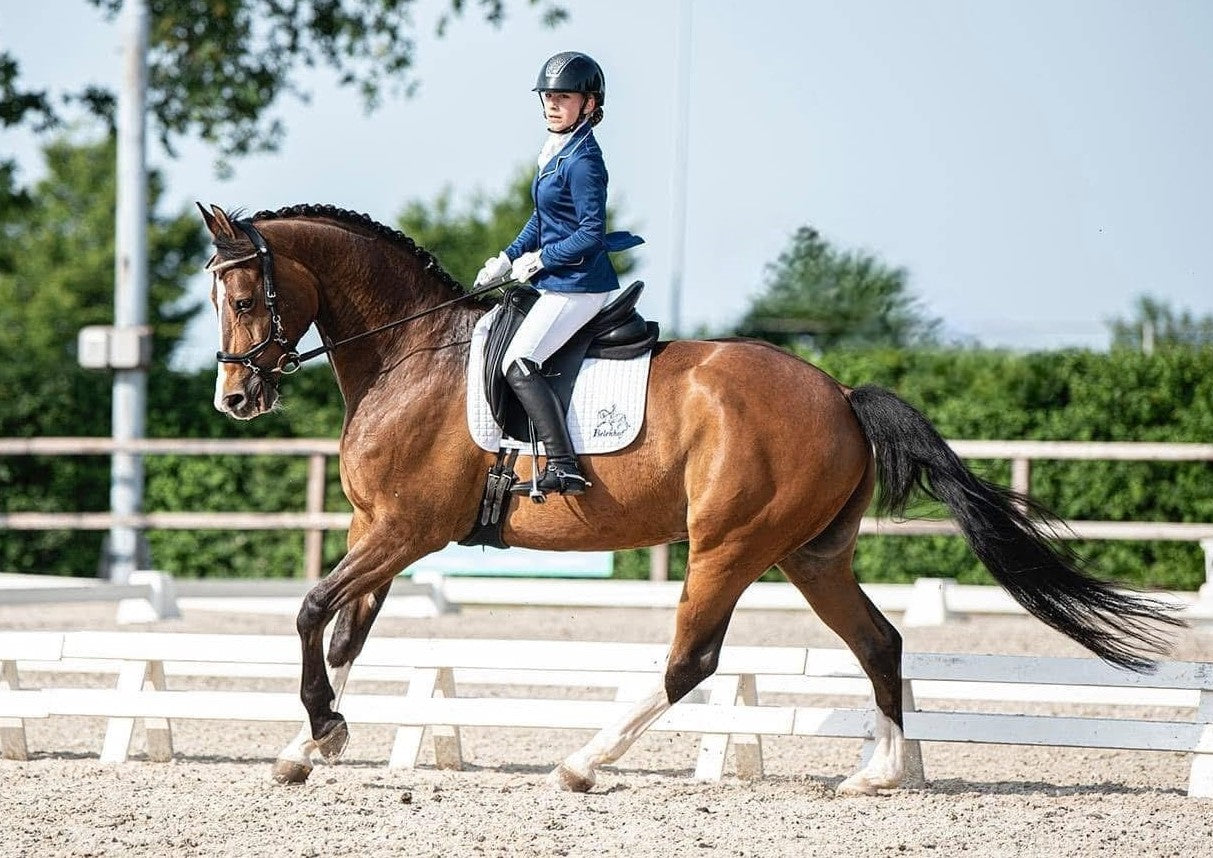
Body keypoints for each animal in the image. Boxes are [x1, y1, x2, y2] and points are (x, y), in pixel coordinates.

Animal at [199, 202, 1180, 794]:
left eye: (244, 296)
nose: (236, 400)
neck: (413, 356)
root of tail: (839, 393)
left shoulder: (406, 529)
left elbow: (310, 610)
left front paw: (319, 730)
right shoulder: (378, 527)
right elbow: (345, 633)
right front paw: (311, 742)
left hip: (729, 545)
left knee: (692, 660)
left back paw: (583, 762)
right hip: (810, 554)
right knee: (879, 641)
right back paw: (878, 773)